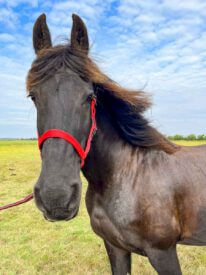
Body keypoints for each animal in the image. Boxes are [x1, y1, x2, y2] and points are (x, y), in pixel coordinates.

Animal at [27, 13, 206, 275]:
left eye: (89, 96)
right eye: (33, 96)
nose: (56, 198)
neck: (127, 176)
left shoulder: (163, 252)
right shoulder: (115, 247)